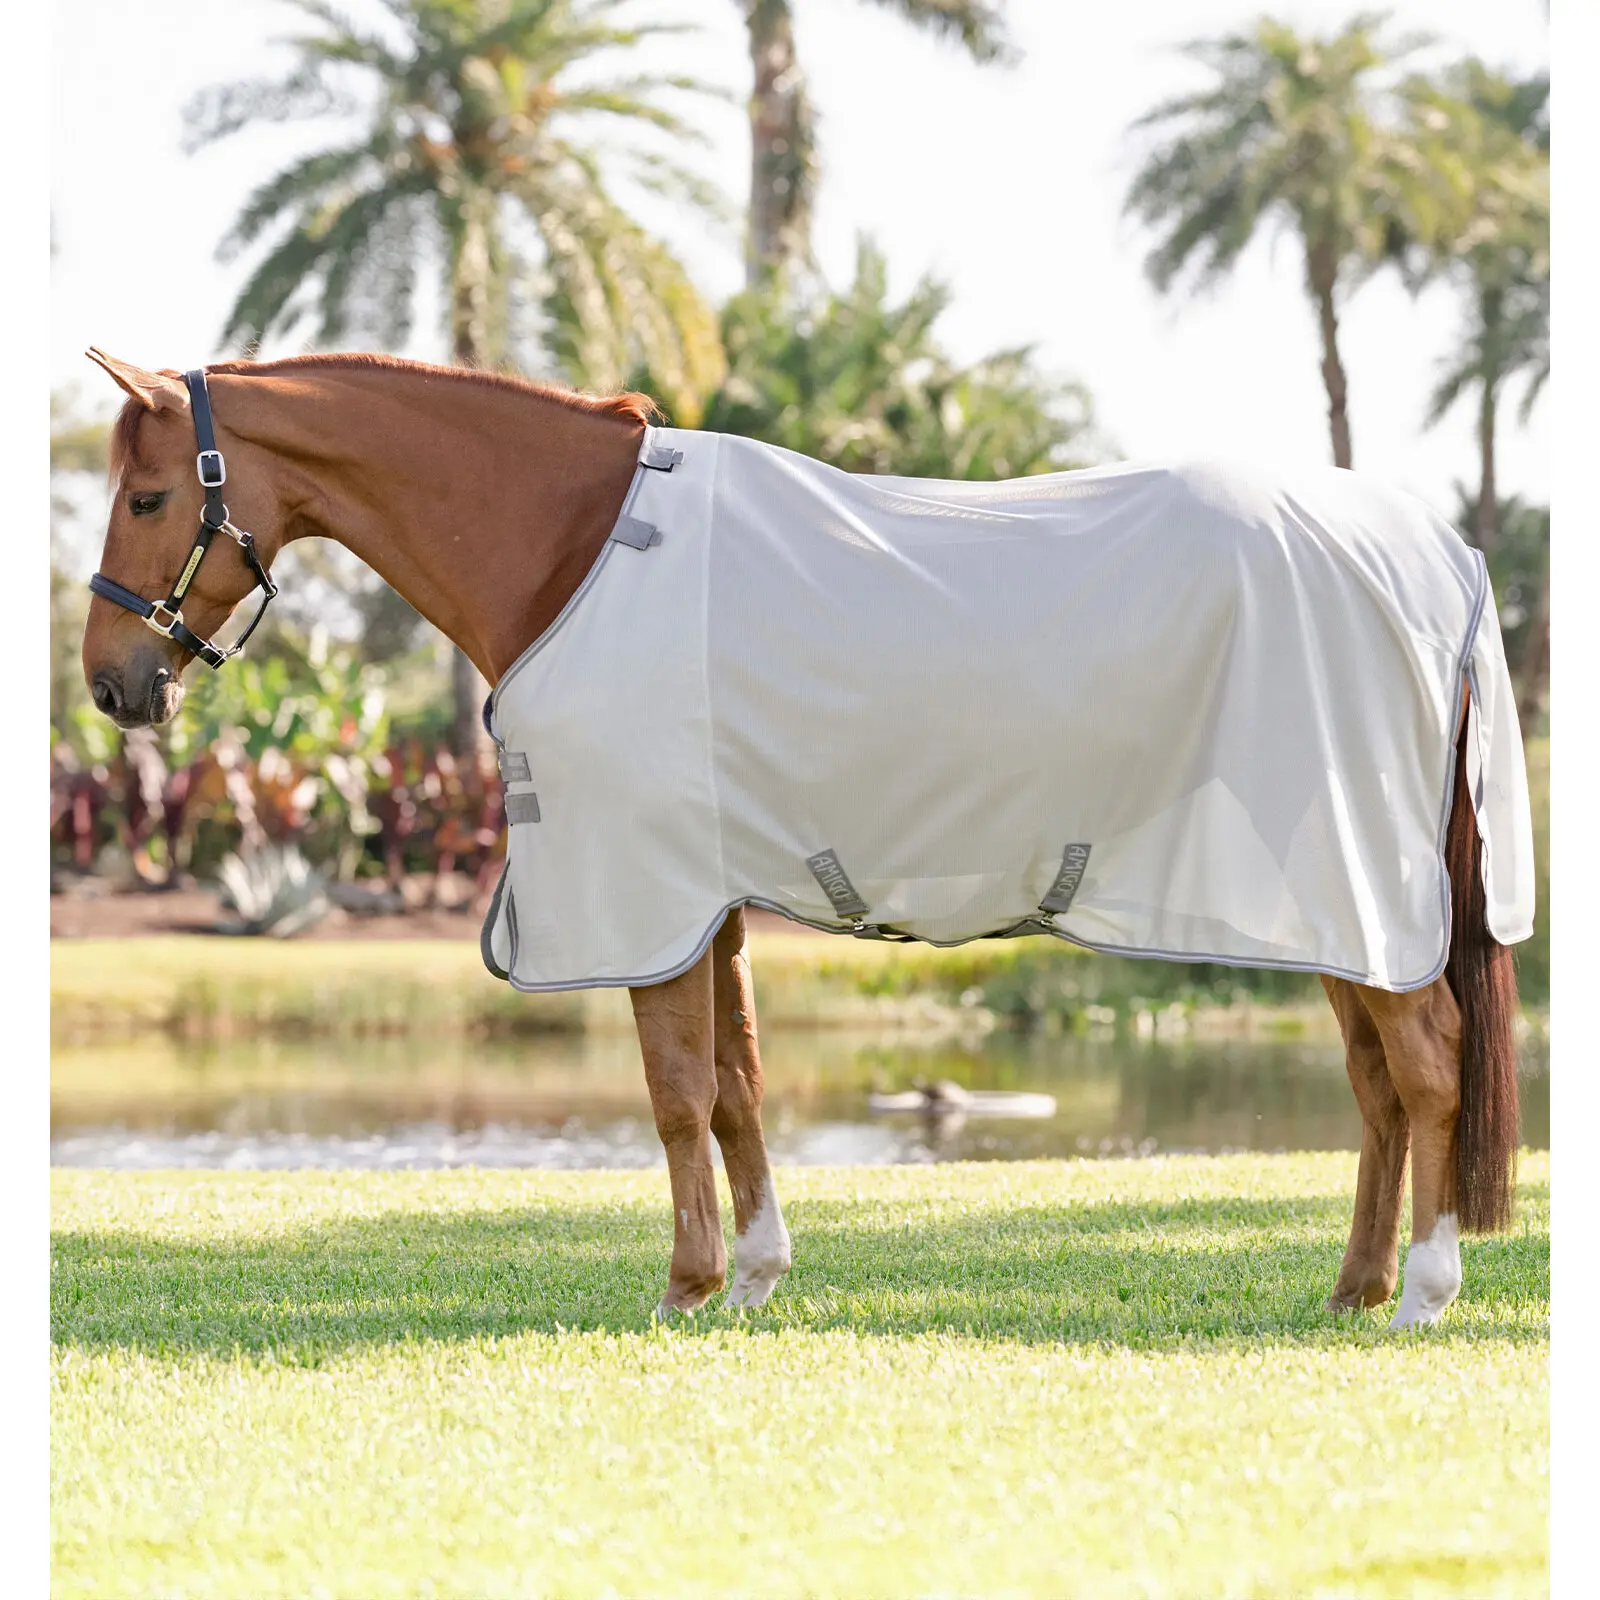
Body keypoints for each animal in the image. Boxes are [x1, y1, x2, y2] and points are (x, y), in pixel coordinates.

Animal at [77, 349, 1526, 1328]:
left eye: (147, 497)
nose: (111, 686)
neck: (578, 548)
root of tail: (1437, 557)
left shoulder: (650, 889)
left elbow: (673, 1092)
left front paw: (684, 1286)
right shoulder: (707, 898)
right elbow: (738, 1084)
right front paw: (758, 1278)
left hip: (1351, 889)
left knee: (1428, 1068)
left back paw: (1424, 1292)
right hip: (1340, 911)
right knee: (1379, 1085)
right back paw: (1353, 1288)